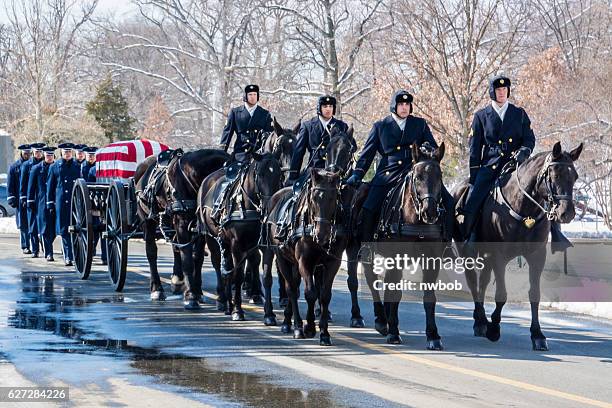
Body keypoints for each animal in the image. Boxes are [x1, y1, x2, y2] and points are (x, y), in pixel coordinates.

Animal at [134, 149, 230, 310]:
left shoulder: (200, 228)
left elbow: (198, 257)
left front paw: (198, 291)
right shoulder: (182, 224)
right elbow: (187, 259)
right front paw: (191, 296)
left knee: (175, 247)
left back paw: (177, 280)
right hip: (147, 221)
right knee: (151, 252)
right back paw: (157, 288)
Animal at [198, 151, 282, 320]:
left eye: (279, 174)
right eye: (260, 174)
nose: (269, 206)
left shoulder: (264, 246)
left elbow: (267, 277)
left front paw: (269, 313)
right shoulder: (237, 245)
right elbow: (237, 275)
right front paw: (237, 310)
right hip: (211, 237)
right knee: (218, 264)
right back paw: (222, 299)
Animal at [454, 142, 584, 350]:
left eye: (575, 177)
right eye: (555, 175)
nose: (567, 213)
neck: (524, 208)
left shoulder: (537, 256)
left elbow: (534, 293)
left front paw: (537, 334)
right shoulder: (498, 256)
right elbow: (501, 293)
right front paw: (494, 329)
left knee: (482, 282)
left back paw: (480, 321)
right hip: (467, 253)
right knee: (473, 281)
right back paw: (481, 322)